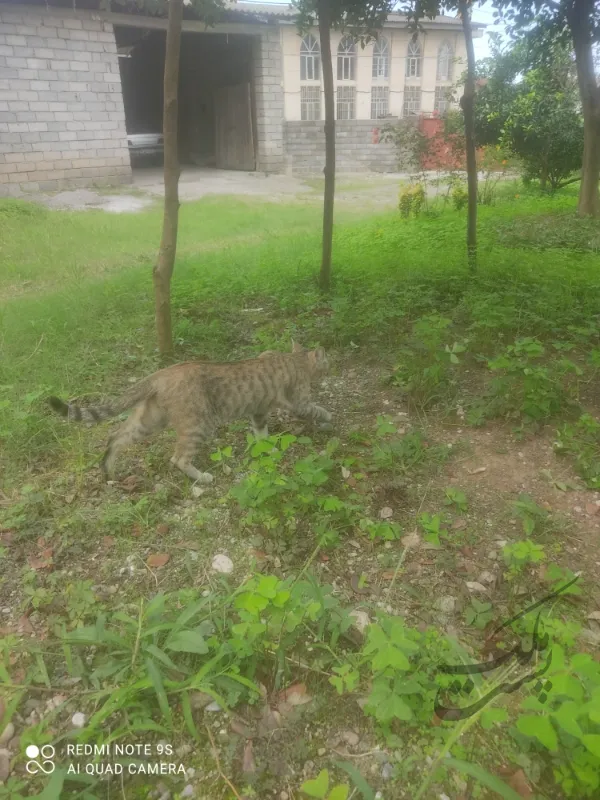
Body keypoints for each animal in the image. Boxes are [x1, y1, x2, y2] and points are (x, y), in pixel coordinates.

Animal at [48, 342, 332, 482]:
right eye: (326, 363)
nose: (331, 365)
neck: (295, 359)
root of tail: (161, 373)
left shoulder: (259, 410)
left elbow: (261, 433)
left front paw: (268, 450)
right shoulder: (298, 402)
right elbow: (316, 409)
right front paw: (329, 417)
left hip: (149, 421)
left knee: (116, 437)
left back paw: (108, 471)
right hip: (198, 424)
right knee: (178, 458)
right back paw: (203, 478)